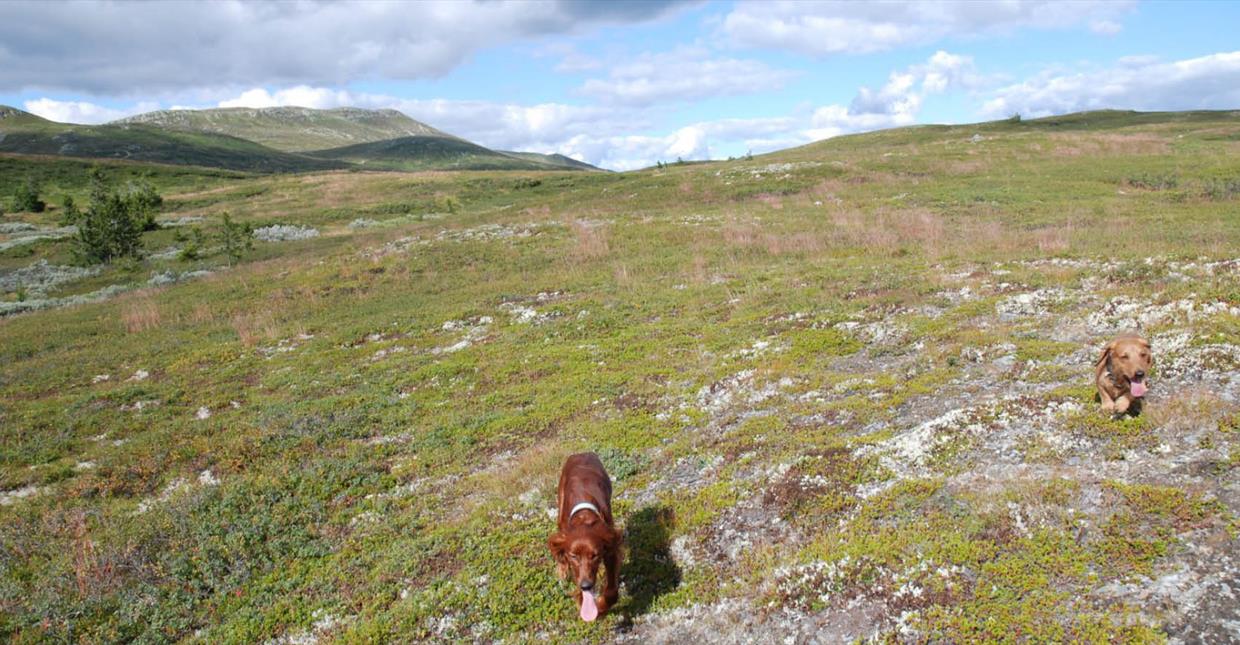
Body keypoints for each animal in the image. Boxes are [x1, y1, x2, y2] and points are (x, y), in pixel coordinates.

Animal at [548, 451, 620, 622]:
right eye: (574, 556)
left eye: (595, 555)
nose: (586, 585)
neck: (584, 517)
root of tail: (580, 453)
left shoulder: (610, 544)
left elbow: (612, 593)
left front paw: (600, 607)